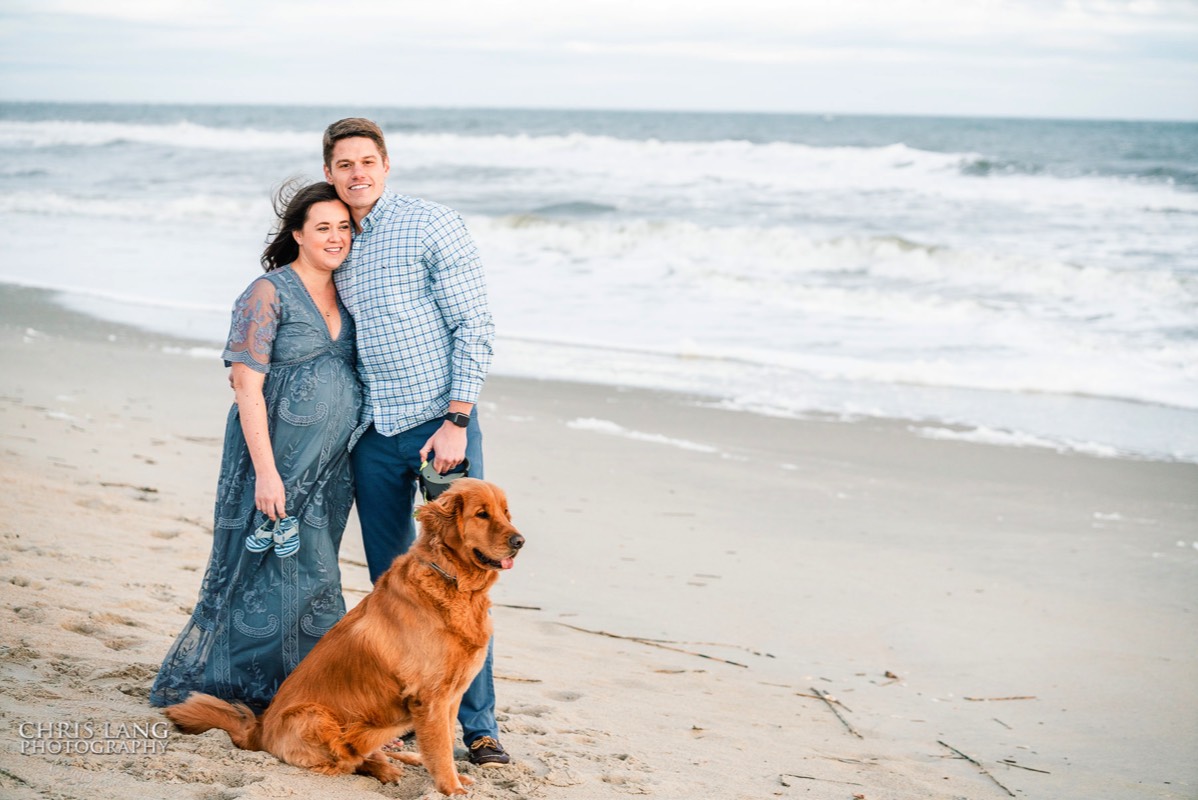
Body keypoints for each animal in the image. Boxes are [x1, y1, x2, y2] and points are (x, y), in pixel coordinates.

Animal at [164, 479, 524, 795]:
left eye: (507, 513)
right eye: (482, 514)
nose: (520, 541)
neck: (453, 582)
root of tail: (259, 729)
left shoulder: (451, 696)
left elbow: (445, 744)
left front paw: (456, 780)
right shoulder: (431, 698)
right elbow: (440, 751)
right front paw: (453, 789)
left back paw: (403, 759)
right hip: (314, 716)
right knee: (352, 759)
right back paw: (385, 769)